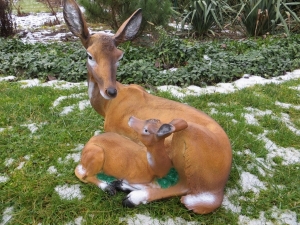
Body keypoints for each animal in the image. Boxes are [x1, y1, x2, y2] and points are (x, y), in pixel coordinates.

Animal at [63, 0, 232, 213]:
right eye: (89, 55)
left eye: (120, 56)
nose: (110, 90)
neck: (107, 107)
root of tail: (220, 182)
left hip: (186, 138)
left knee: (185, 187)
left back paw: (133, 195)